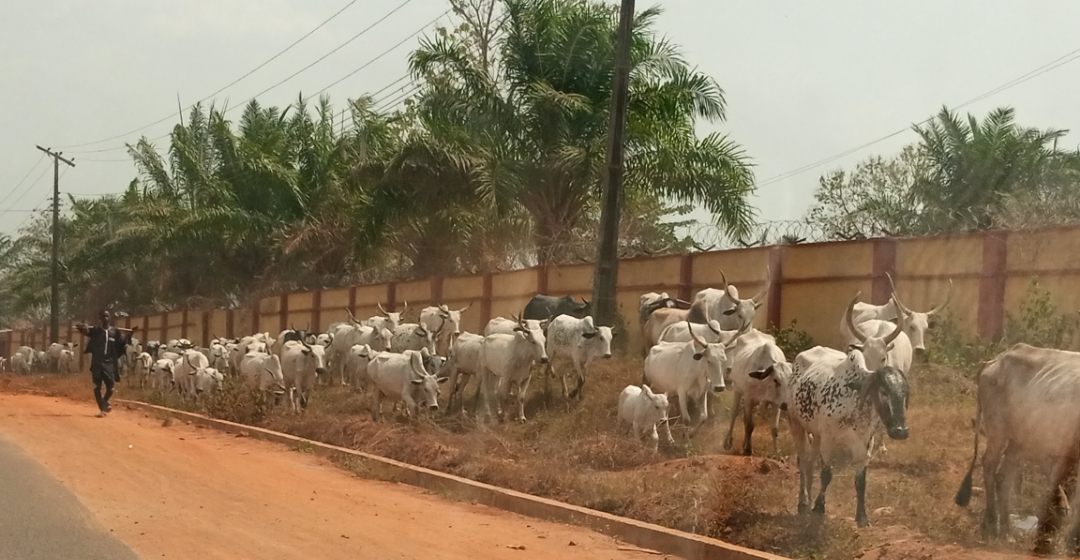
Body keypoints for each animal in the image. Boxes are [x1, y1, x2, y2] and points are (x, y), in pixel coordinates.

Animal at [786, 302, 911, 526]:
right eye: (883, 391)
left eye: (904, 393)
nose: (901, 431)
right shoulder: (829, 441)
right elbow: (826, 474)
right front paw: (819, 507)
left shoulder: (863, 446)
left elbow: (861, 481)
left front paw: (862, 517)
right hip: (796, 424)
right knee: (803, 460)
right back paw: (803, 501)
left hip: (815, 433)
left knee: (810, 461)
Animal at [959, 343, 1080, 550]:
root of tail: (995, 360)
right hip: (997, 430)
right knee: (989, 464)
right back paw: (990, 524)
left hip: (1019, 440)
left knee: (1004, 476)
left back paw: (1006, 530)